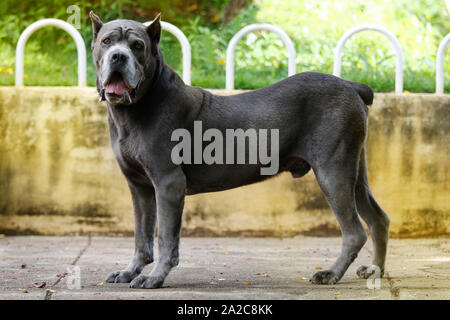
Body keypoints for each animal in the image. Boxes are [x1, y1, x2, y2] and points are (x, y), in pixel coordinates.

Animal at [89, 11, 390, 290]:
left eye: (137, 45)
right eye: (107, 42)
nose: (119, 57)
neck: (137, 107)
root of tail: (352, 85)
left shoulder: (168, 183)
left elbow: (165, 238)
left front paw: (154, 277)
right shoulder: (139, 187)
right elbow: (141, 235)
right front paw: (129, 271)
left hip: (332, 170)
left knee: (355, 232)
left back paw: (330, 273)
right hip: (354, 170)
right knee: (379, 219)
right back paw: (374, 271)